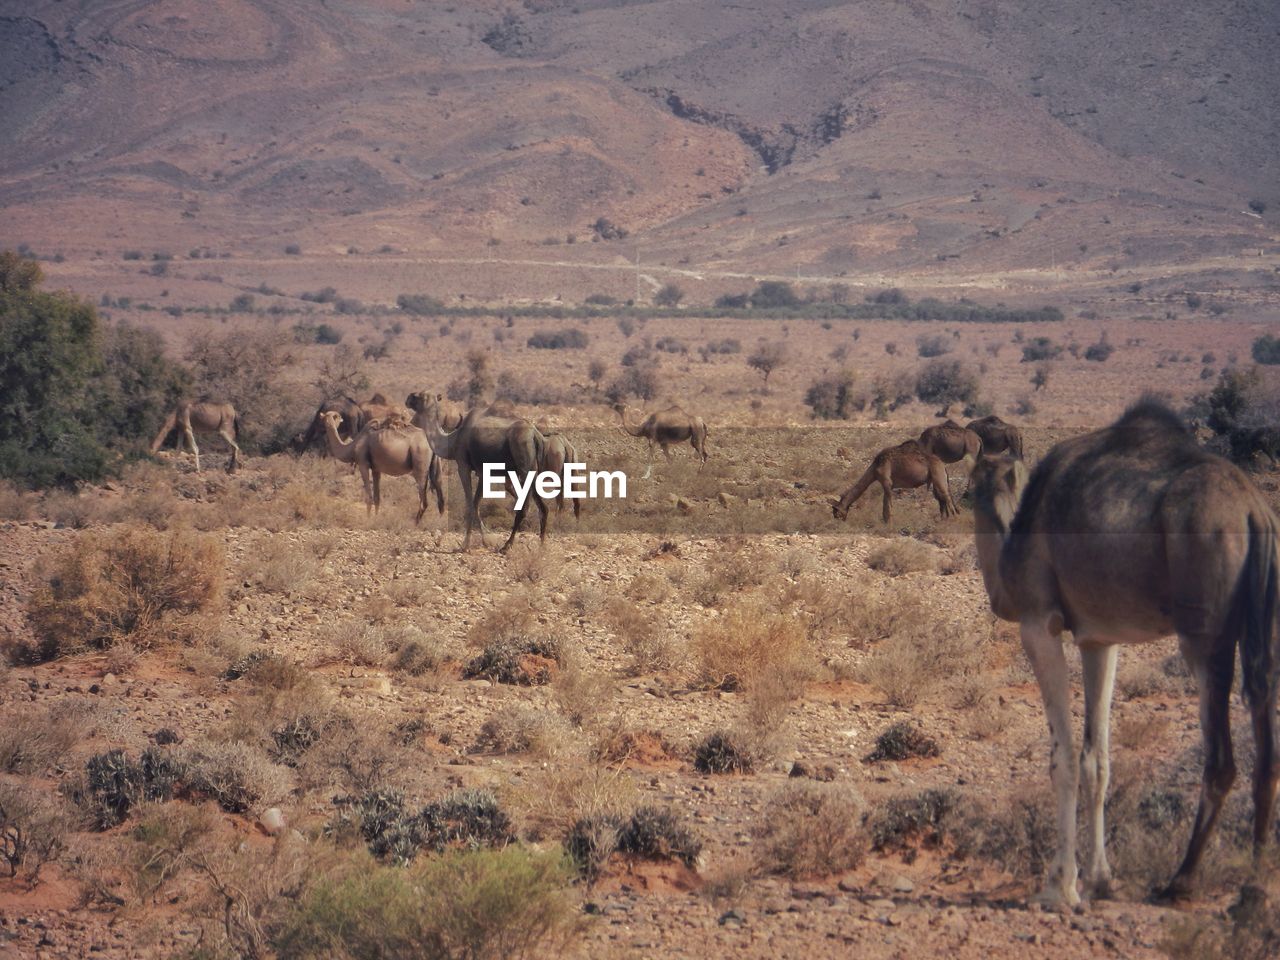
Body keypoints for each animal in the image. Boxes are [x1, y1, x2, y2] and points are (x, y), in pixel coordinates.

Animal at [414, 401, 545, 552]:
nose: (411, 421)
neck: (455, 438)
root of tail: (535, 435)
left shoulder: (465, 466)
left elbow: (472, 504)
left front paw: (468, 544)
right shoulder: (486, 473)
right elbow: (476, 504)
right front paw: (485, 541)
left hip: (524, 465)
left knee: (524, 508)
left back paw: (507, 545)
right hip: (531, 470)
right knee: (541, 507)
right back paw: (541, 544)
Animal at [967, 399, 1280, 911]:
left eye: (974, 470)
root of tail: (1254, 513)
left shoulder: (1038, 623)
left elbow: (1064, 758)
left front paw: (1060, 888)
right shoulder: (1099, 639)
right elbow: (1098, 759)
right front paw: (1100, 879)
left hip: (1204, 629)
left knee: (1221, 757)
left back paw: (1180, 882)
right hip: (1264, 626)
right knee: (1265, 737)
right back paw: (1252, 890)